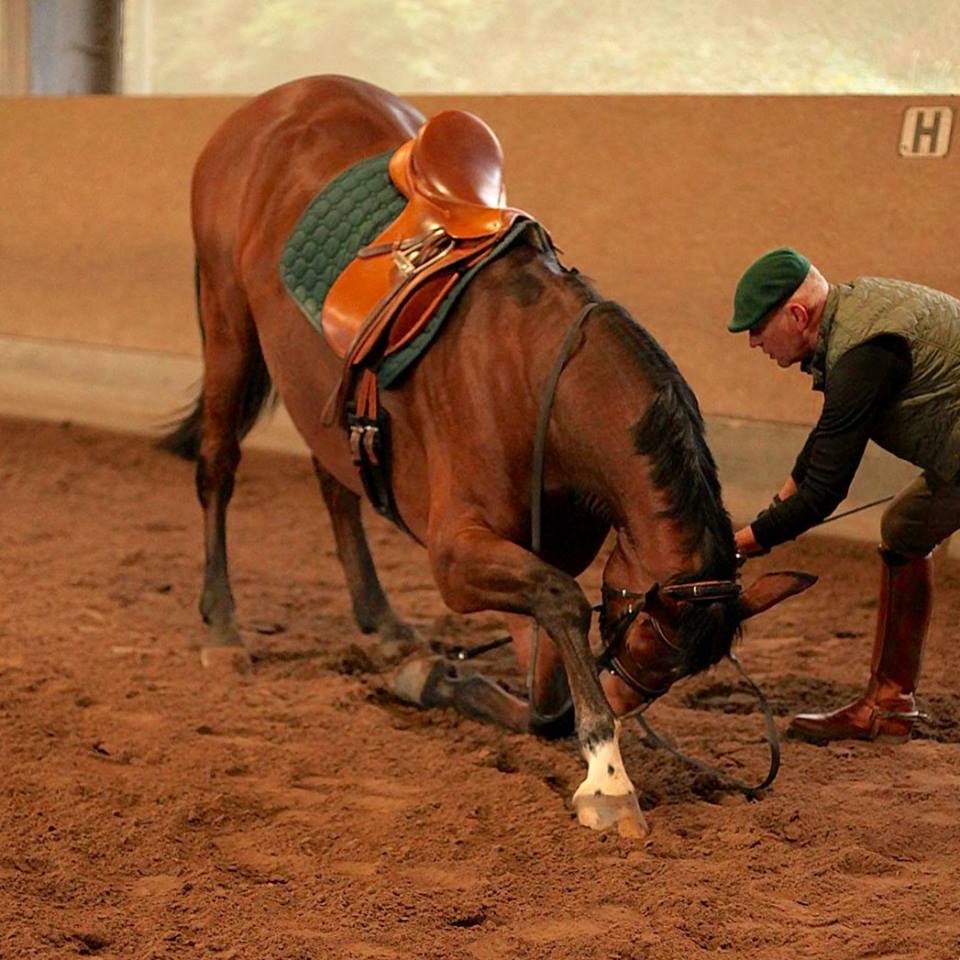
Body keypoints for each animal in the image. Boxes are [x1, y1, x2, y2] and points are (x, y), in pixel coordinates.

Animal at [163, 77, 808, 840]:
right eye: (644, 640)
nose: (622, 701)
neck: (537, 384)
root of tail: (274, 104)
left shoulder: (539, 552)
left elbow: (545, 689)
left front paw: (441, 679)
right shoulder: (458, 554)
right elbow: (561, 608)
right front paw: (607, 776)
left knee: (336, 483)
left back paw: (381, 622)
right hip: (226, 317)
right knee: (218, 465)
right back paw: (223, 626)